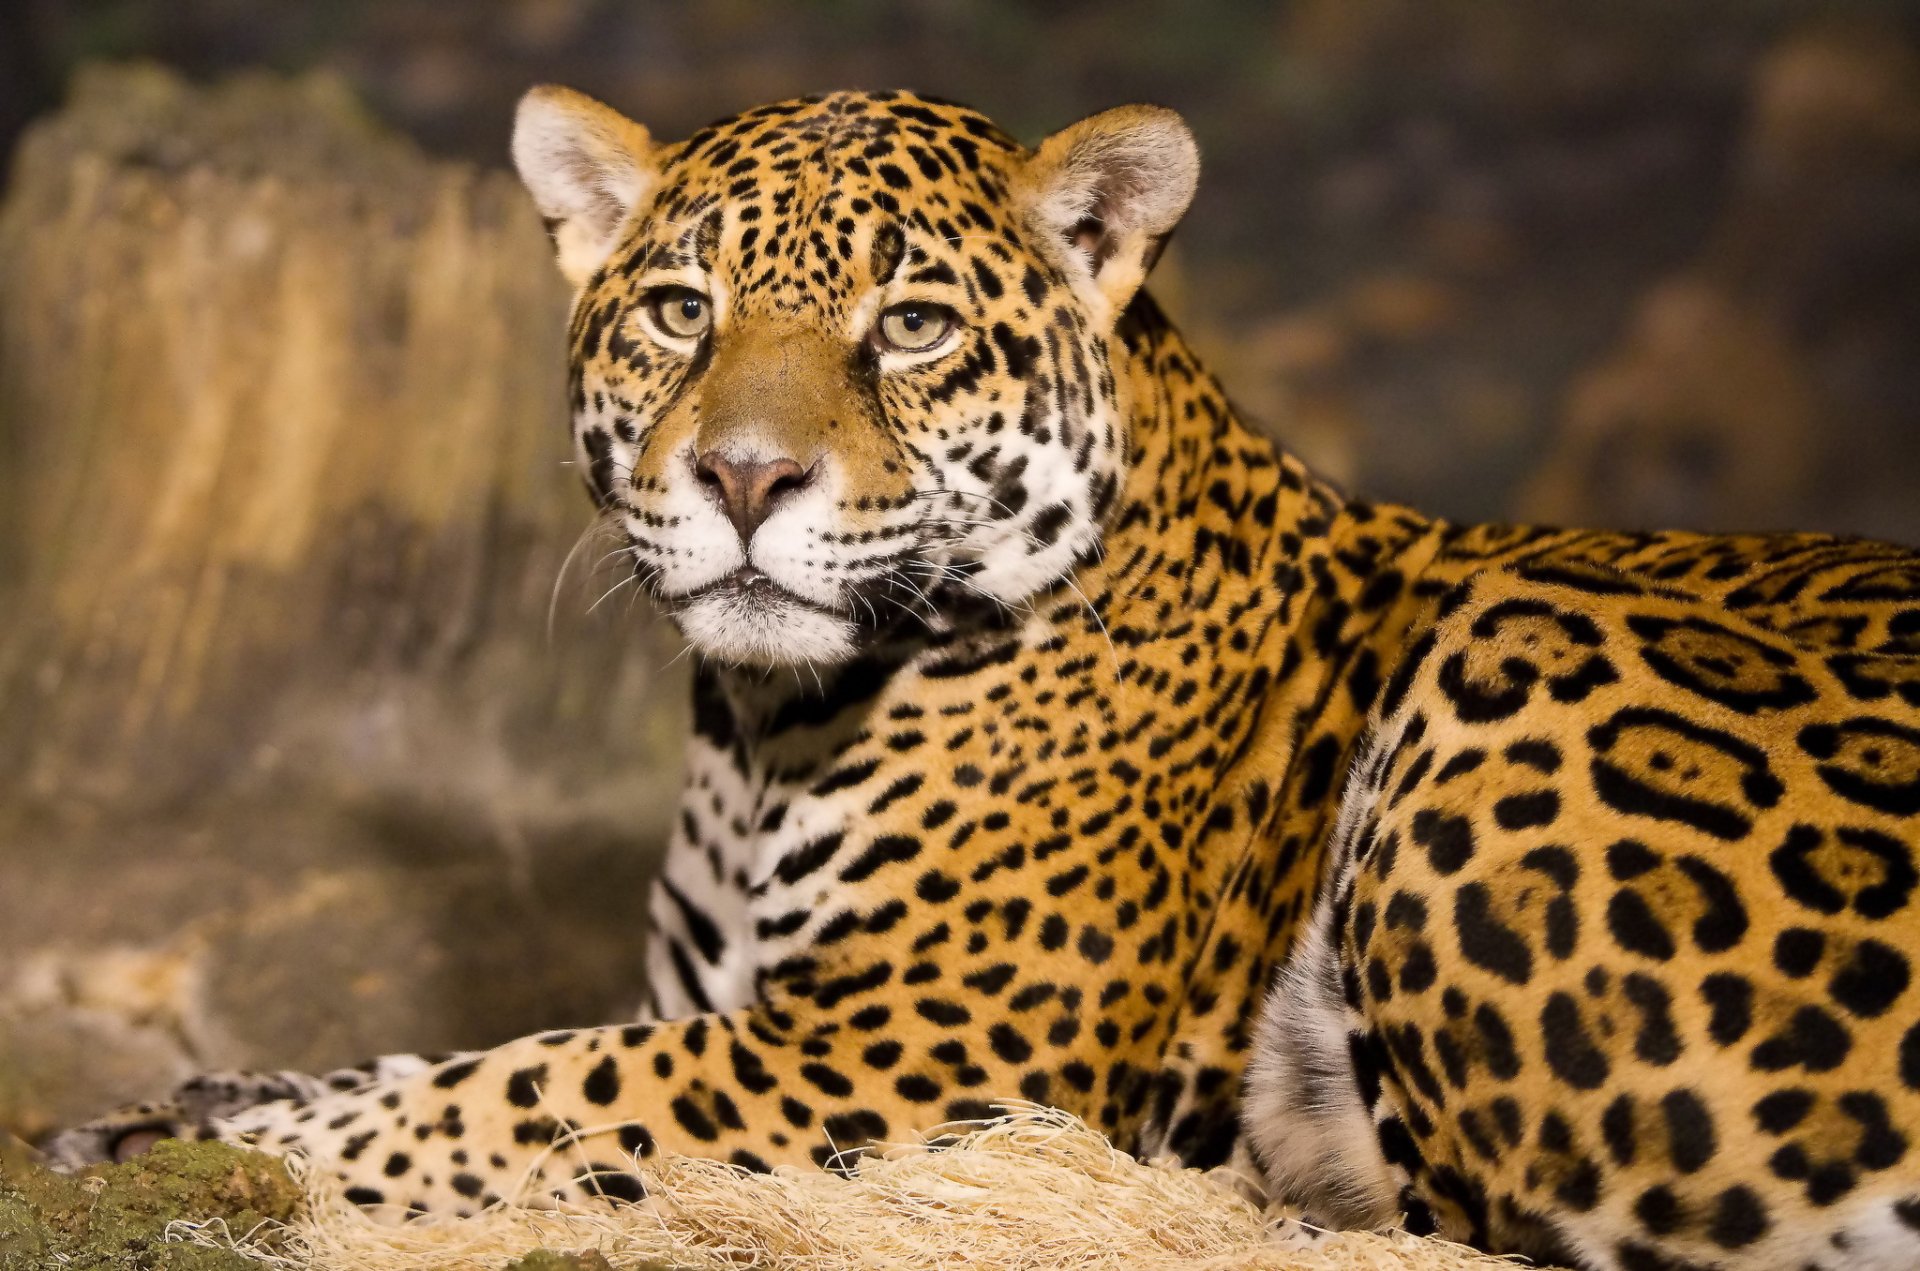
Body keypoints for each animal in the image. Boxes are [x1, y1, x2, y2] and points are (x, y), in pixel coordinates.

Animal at [40, 85, 1920, 1270]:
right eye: (679, 310)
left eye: (915, 327)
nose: (741, 476)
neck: (761, 735)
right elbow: (438, 1065)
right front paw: (190, 1107)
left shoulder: (906, 1050)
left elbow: (530, 1085)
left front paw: (200, 1156)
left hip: (1522, 638)